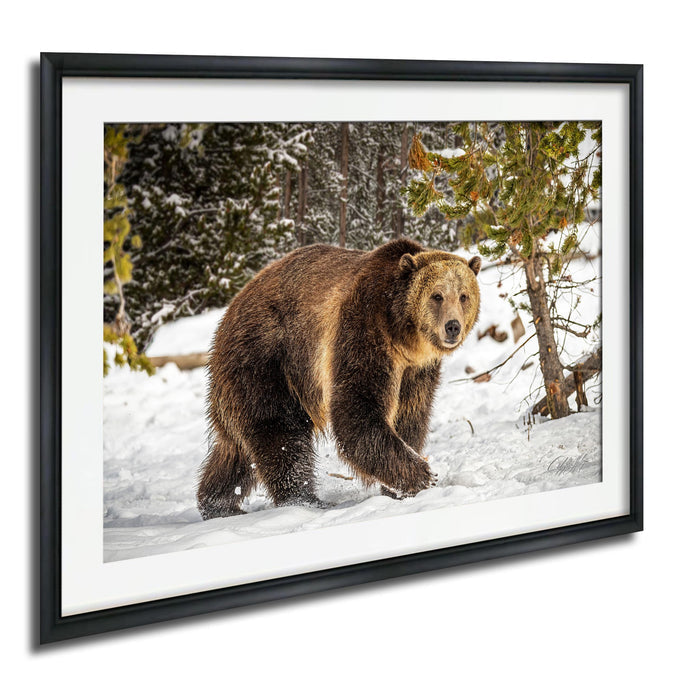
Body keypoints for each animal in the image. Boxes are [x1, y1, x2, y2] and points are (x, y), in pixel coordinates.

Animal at [197, 238, 481, 519]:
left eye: (463, 296)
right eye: (437, 295)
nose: (452, 326)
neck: (403, 337)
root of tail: (230, 311)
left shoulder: (416, 371)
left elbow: (410, 415)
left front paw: (400, 486)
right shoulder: (363, 330)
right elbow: (357, 410)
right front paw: (424, 476)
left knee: (235, 450)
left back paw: (217, 504)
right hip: (268, 358)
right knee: (279, 432)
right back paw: (304, 499)